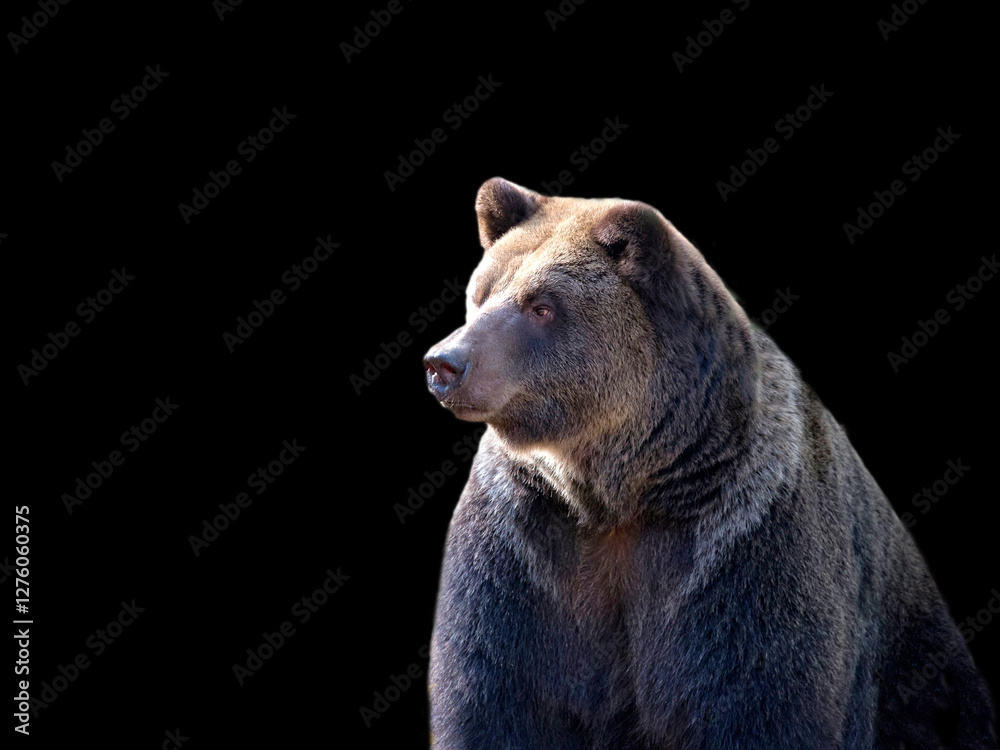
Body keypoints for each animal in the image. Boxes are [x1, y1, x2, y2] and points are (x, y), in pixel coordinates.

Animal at [422, 177, 996, 749]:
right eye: (481, 292)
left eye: (542, 304)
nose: (444, 363)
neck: (620, 490)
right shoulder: (524, 545)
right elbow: (492, 691)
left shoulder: (743, 548)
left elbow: (763, 691)